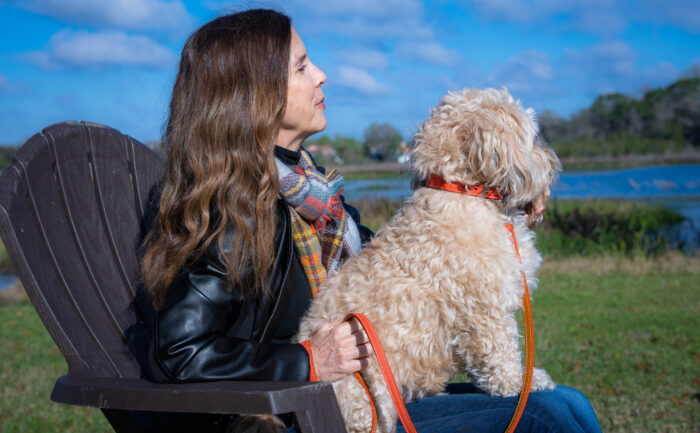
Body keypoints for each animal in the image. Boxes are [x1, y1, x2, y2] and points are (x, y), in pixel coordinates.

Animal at [294, 88, 556, 432]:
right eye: (532, 136)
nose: (553, 162)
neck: (462, 190)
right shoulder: (485, 312)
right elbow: (501, 356)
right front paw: (523, 383)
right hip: (371, 403)